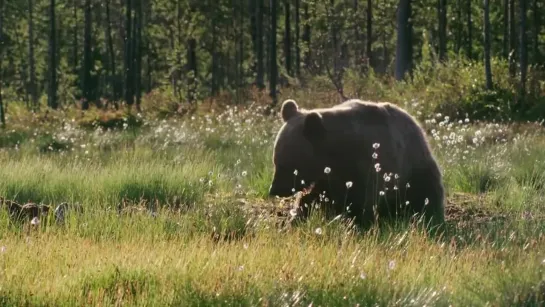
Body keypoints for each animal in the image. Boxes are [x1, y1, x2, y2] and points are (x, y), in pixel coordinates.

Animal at [266, 98, 444, 229]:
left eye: (286, 164)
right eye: (276, 161)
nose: (274, 189)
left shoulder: (370, 162)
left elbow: (369, 198)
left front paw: (364, 224)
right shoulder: (328, 177)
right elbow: (309, 199)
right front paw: (292, 221)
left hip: (416, 169)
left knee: (428, 194)